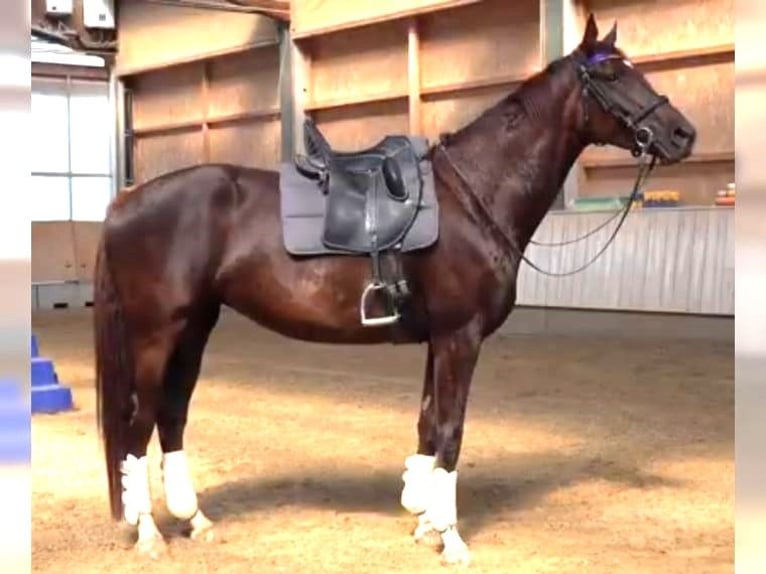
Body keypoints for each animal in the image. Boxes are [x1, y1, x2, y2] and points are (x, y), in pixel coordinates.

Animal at [94, 15, 696, 568]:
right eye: (613, 74)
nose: (683, 134)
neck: (473, 196)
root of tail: (126, 203)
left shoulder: (440, 339)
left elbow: (429, 424)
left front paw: (426, 524)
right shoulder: (460, 337)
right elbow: (451, 431)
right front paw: (451, 539)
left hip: (195, 327)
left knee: (171, 416)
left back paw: (194, 520)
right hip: (157, 334)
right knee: (138, 423)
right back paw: (148, 533)